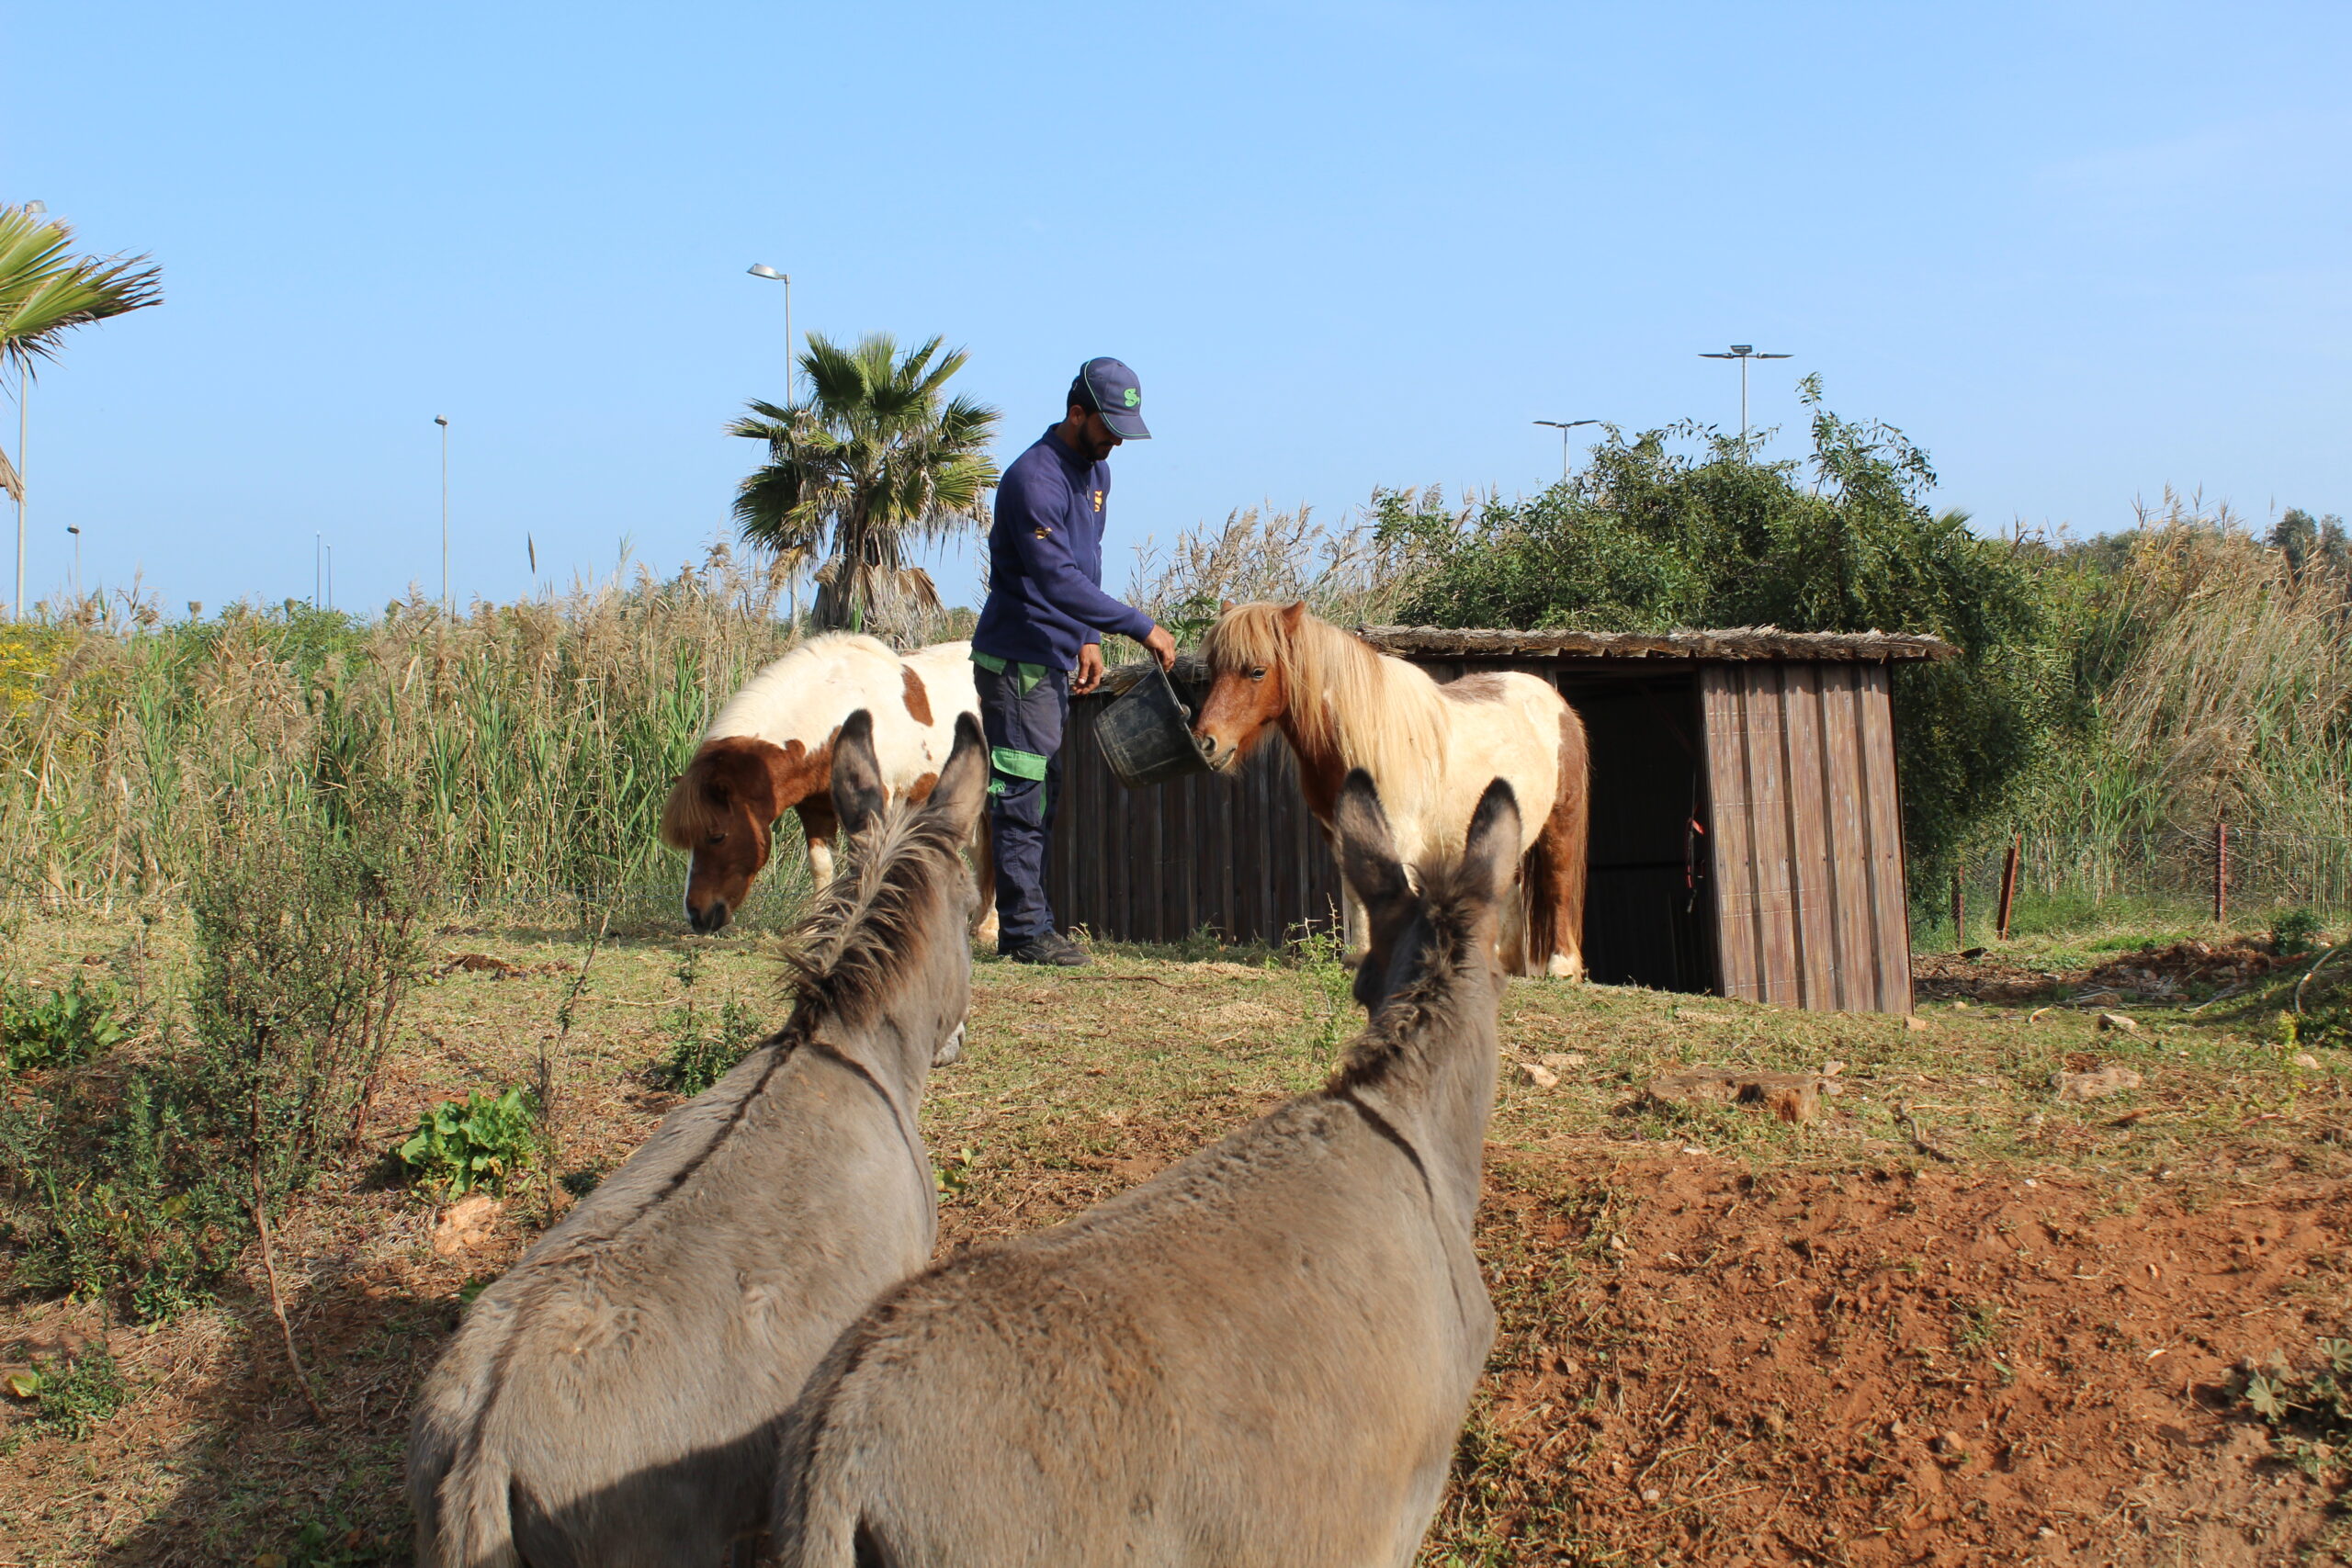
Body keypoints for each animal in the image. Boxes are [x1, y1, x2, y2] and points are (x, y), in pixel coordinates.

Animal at [662, 629, 992, 940]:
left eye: (716, 836)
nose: (696, 915)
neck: (843, 711)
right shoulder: (815, 807)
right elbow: (821, 865)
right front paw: (817, 926)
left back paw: (987, 929)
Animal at [1194, 606, 1599, 982]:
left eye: (1257, 671)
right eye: (1213, 668)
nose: (1205, 743)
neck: (1362, 738)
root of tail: (1557, 705)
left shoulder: (1400, 835)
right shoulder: (1340, 831)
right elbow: (1355, 893)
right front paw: (1358, 957)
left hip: (1560, 821)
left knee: (1559, 882)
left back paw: (1561, 967)